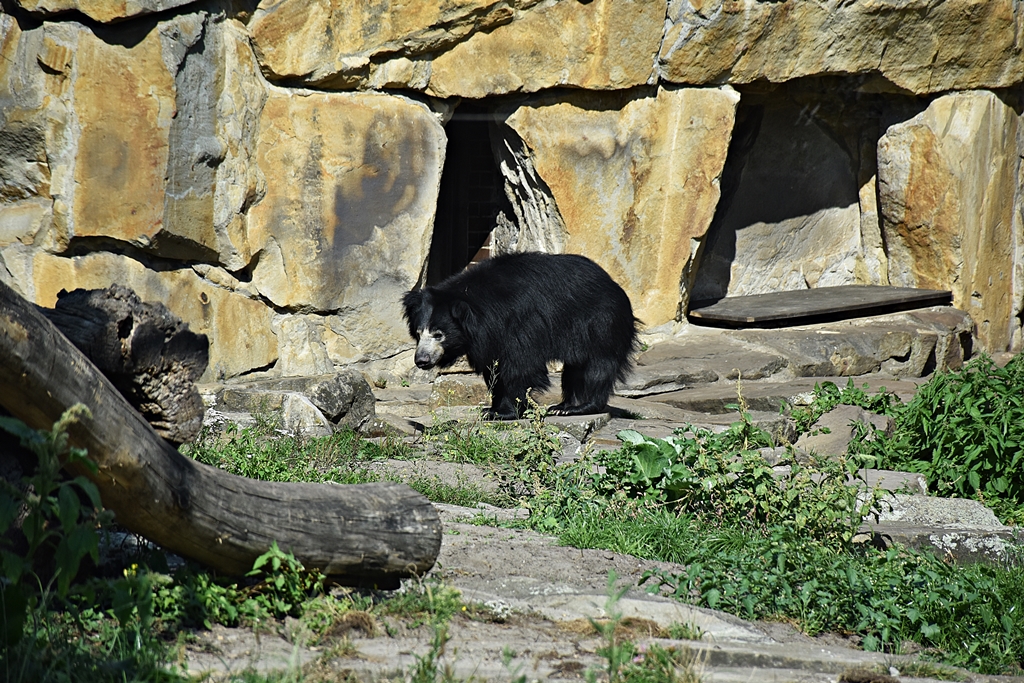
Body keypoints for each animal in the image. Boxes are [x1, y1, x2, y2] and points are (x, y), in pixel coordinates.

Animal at [402, 252, 639, 419]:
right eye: (418, 333)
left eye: (439, 334)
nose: (421, 360)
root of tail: (616, 287)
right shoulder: (490, 338)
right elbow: (494, 369)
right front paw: (493, 408)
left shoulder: (520, 322)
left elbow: (520, 366)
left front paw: (503, 412)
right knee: (575, 370)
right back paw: (562, 406)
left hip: (600, 324)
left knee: (596, 367)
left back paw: (581, 407)